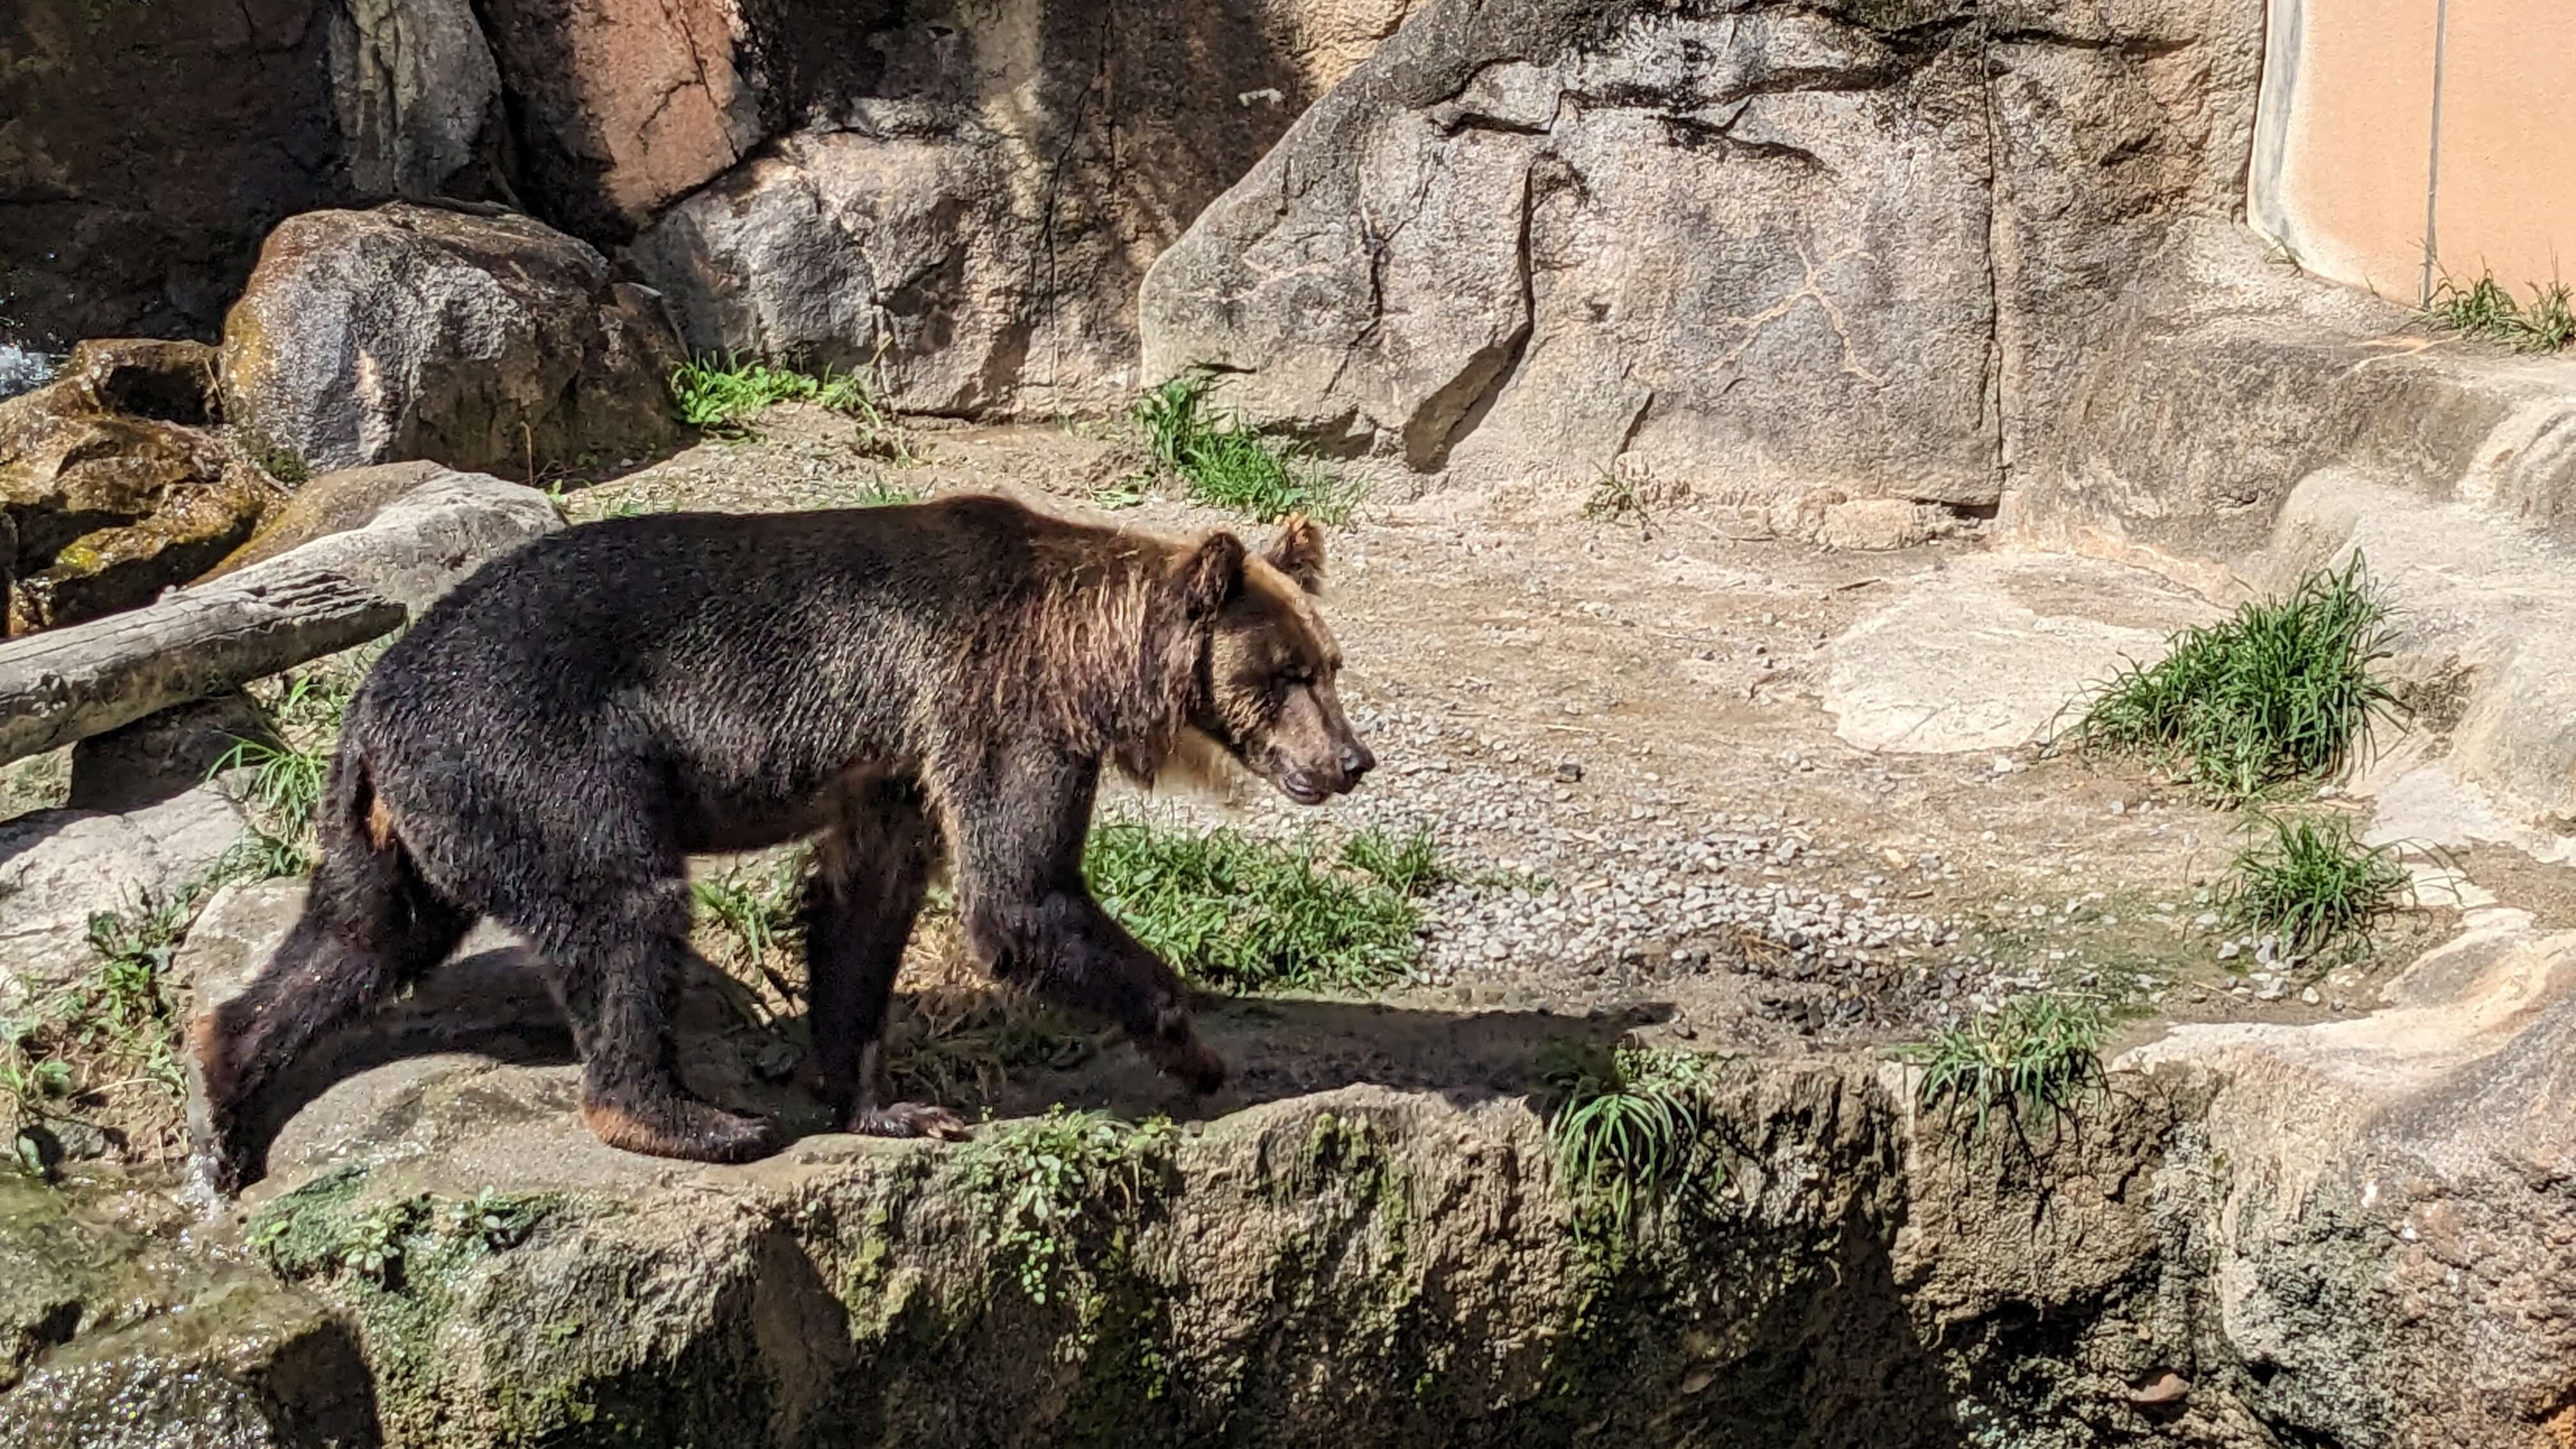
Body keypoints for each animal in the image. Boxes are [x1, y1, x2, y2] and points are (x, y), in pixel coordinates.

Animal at [184, 493, 1374, 1196]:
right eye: (1285, 672)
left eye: (1331, 662)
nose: (1352, 760)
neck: (1090, 654)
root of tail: (370, 701)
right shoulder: (1000, 705)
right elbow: (1019, 896)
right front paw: (1192, 1045)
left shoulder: (896, 753)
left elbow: (868, 904)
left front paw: (887, 1100)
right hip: (536, 750)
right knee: (625, 909)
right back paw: (690, 1117)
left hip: (415, 815)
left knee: (362, 935)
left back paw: (226, 1093)